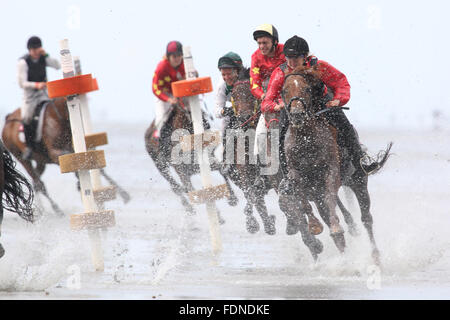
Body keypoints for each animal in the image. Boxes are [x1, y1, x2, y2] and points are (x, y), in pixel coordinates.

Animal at [282, 66, 390, 264]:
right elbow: (303, 201)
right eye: (285, 91)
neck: (306, 140)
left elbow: (331, 199)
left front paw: (336, 230)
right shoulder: (298, 177)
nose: (297, 115)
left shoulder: (331, 171)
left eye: (307, 89)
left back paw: (374, 256)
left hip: (358, 181)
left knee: (366, 218)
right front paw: (315, 225)